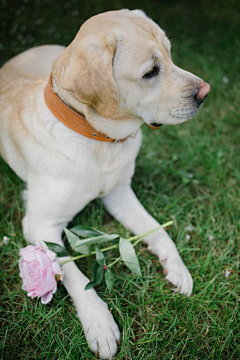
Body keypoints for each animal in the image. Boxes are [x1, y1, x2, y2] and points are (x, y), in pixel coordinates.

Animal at [0, 9, 210, 360]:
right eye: (151, 72)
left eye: (170, 54)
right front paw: (99, 322)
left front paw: (177, 269)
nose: (205, 92)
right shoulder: (40, 224)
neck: (97, 139)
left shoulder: (120, 194)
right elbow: (70, 268)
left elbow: (158, 230)